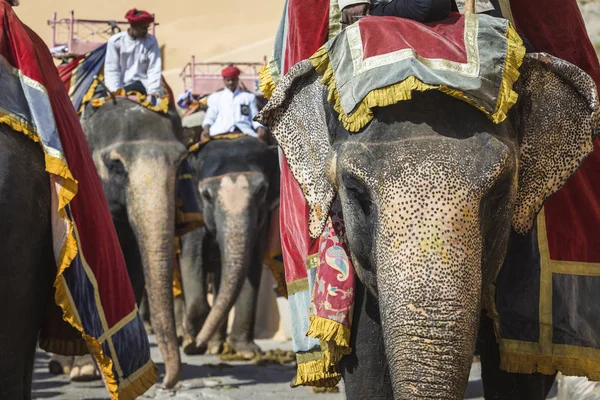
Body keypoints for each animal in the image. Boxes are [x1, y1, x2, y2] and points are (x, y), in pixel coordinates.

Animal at [178, 136, 282, 358]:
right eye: (206, 195)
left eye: (262, 191)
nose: (197, 344)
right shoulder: (193, 212)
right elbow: (192, 257)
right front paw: (194, 340)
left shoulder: (261, 218)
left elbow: (252, 262)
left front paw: (248, 352)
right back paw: (187, 339)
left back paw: (215, 346)